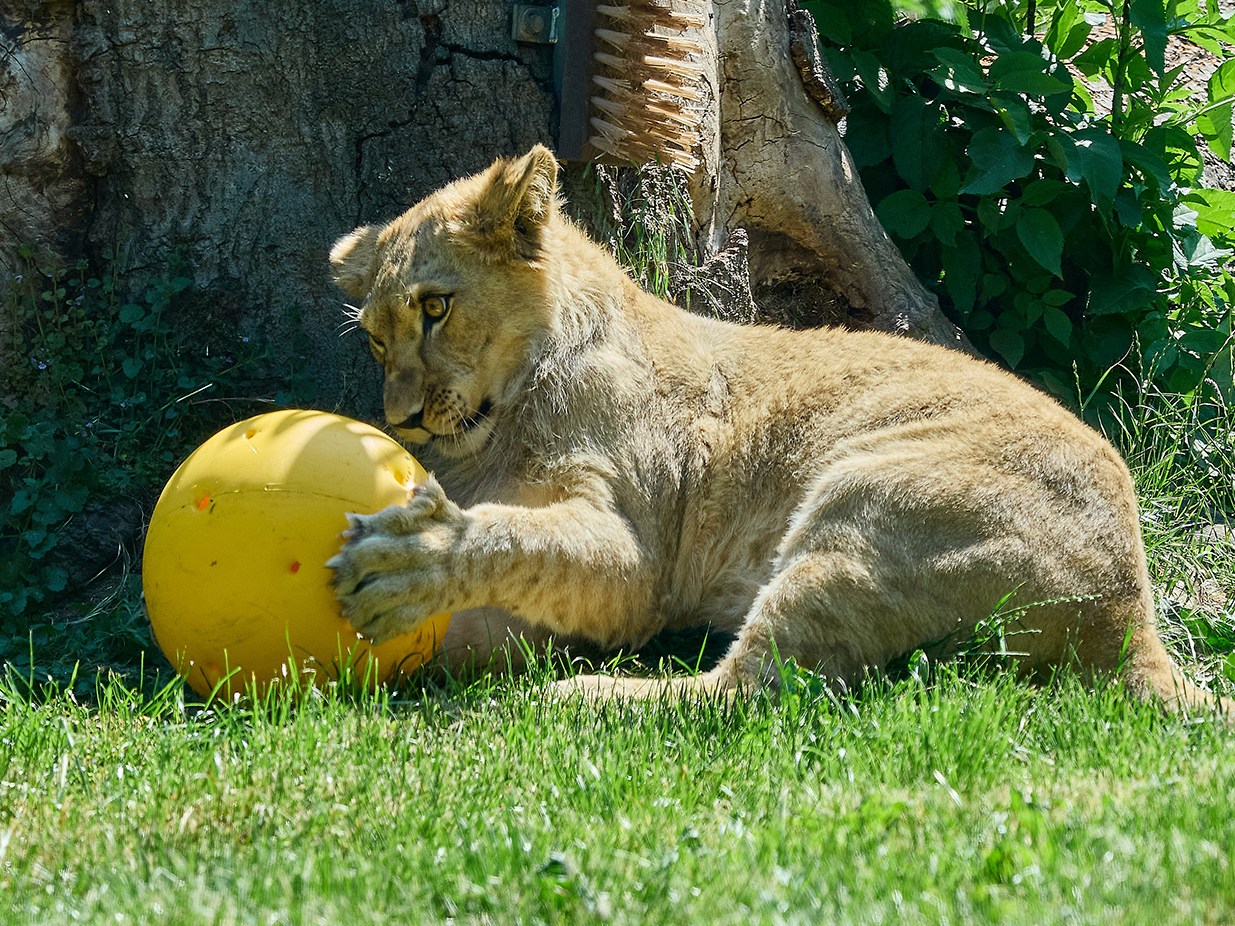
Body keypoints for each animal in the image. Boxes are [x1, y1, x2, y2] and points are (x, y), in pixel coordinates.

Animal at [326, 144, 1229, 716]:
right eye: (372, 337)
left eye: (435, 307)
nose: (399, 419)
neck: (507, 415)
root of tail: (1131, 613)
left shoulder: (637, 566)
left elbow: (519, 536)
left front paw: (413, 560)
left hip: (868, 498)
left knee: (751, 691)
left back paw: (581, 697)